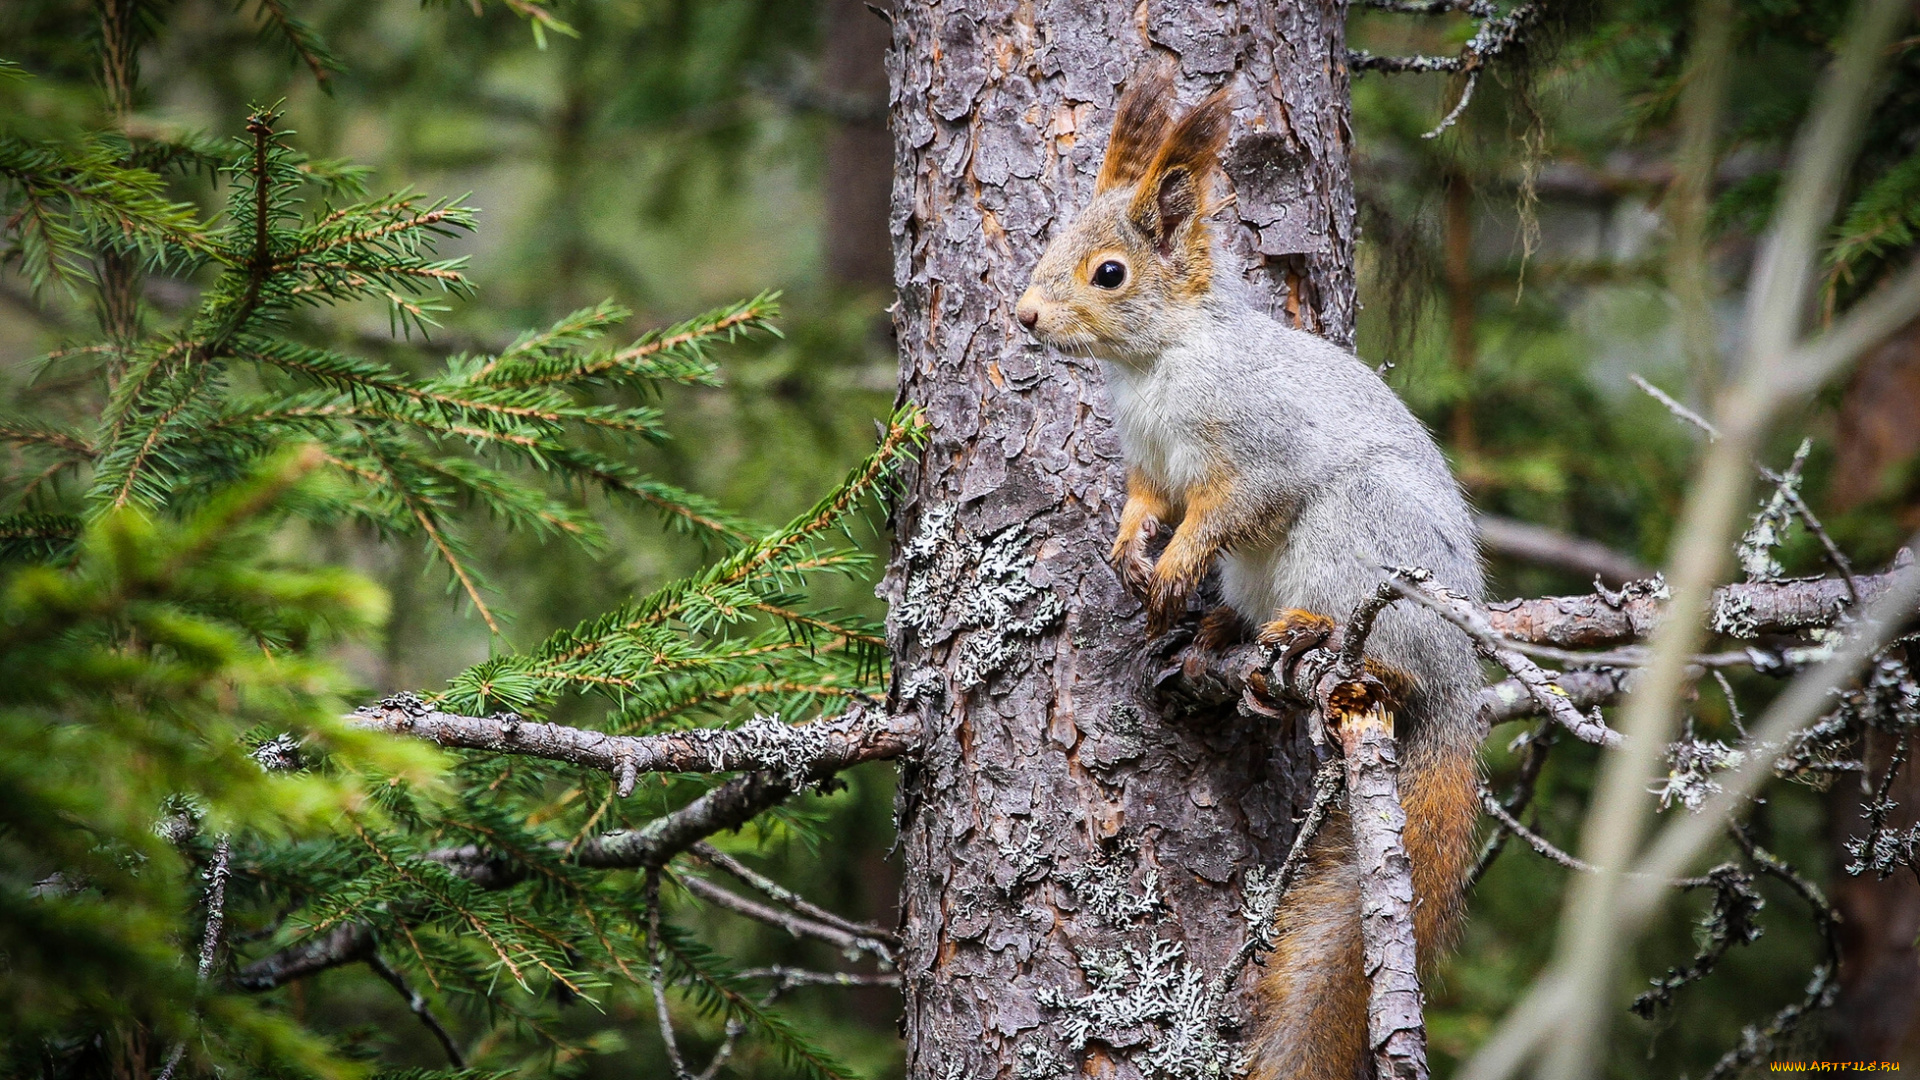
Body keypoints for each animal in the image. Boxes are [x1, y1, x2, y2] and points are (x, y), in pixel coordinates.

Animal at [1021, 67, 1482, 1076]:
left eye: (1108, 273)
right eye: (1051, 242)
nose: (1024, 317)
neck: (1158, 362)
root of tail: (1463, 687)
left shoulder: (1259, 456)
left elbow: (1220, 515)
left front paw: (1171, 567)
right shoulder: (1151, 466)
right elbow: (1145, 506)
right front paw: (1131, 555)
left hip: (1356, 541)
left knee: (1385, 660)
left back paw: (1320, 642)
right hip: (1263, 576)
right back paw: (1213, 644)